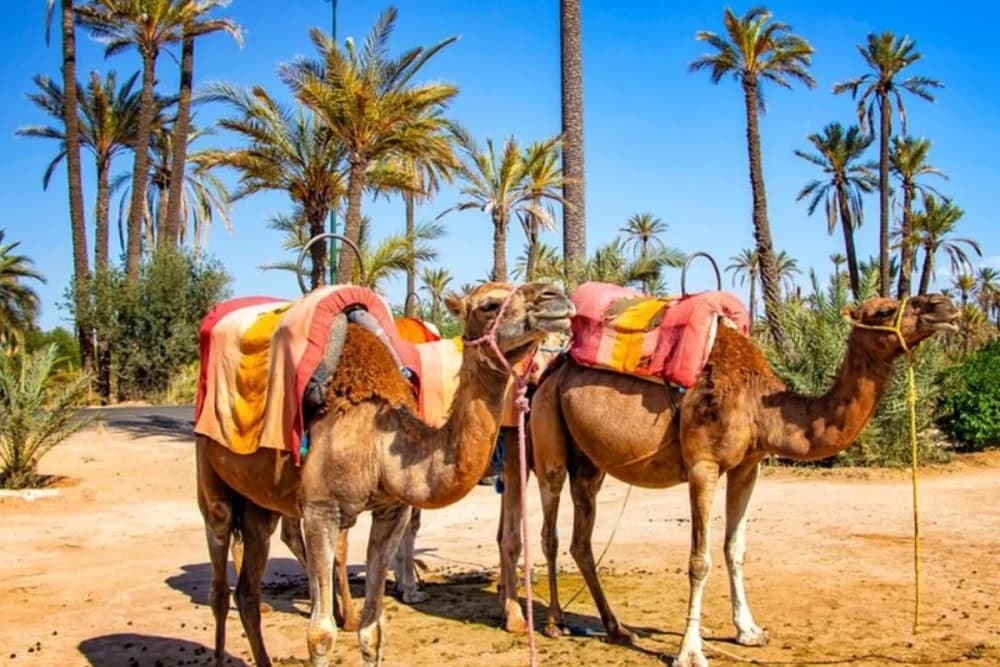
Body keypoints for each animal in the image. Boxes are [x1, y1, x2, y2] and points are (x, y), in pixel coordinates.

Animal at [196, 281, 574, 667]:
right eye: (489, 305)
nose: (555, 295)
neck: (376, 443)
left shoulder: (391, 509)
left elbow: (373, 629)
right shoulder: (320, 510)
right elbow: (320, 635)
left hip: (260, 503)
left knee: (248, 589)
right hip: (211, 476)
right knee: (219, 580)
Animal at [519, 294, 958, 667]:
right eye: (885, 310)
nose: (946, 306)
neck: (761, 405)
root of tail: (551, 371)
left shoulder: (749, 466)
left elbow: (735, 549)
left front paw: (749, 631)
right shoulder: (704, 464)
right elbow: (699, 560)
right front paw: (690, 651)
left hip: (590, 461)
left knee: (582, 539)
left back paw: (617, 628)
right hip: (548, 435)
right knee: (549, 530)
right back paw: (556, 623)